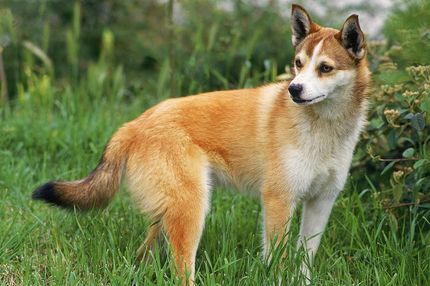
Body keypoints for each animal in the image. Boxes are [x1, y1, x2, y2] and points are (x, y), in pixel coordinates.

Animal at [31, 3, 372, 284]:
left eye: (325, 68)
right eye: (298, 63)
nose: (294, 90)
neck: (323, 129)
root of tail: (136, 123)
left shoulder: (320, 202)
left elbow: (304, 260)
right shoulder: (279, 200)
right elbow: (278, 260)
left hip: (169, 215)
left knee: (144, 257)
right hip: (191, 209)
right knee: (181, 270)